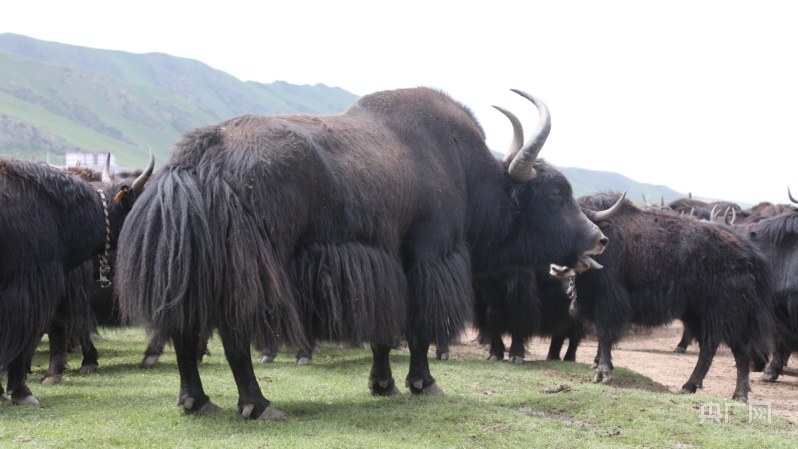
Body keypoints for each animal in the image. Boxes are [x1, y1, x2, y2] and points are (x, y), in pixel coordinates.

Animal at [115, 87, 616, 420]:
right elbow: (417, 326)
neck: (466, 174)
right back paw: (258, 405)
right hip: (251, 265)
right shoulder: (428, 257)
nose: (599, 239)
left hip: (191, 267)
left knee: (185, 327)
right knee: (234, 332)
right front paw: (423, 383)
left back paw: (196, 401)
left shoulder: (383, 262)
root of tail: (196, 160)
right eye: (555, 192)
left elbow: (384, 328)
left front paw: (383, 384)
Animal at [570, 191, 775, 402]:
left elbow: (604, 335)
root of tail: (747, 252)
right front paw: (599, 365)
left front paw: (603, 373)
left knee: (739, 351)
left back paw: (739, 395)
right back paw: (689, 386)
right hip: (699, 315)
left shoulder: (608, 302)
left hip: (728, 315)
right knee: (708, 348)